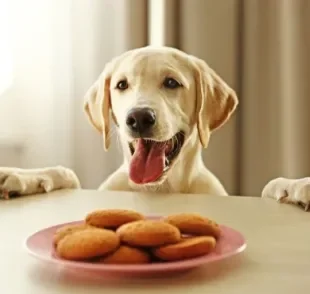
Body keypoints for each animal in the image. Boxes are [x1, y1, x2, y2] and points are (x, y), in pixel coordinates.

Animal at [0, 45, 308, 209]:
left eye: (172, 82)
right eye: (121, 85)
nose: (138, 118)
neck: (158, 189)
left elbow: (271, 185)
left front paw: (298, 186)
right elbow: (67, 173)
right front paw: (23, 176)